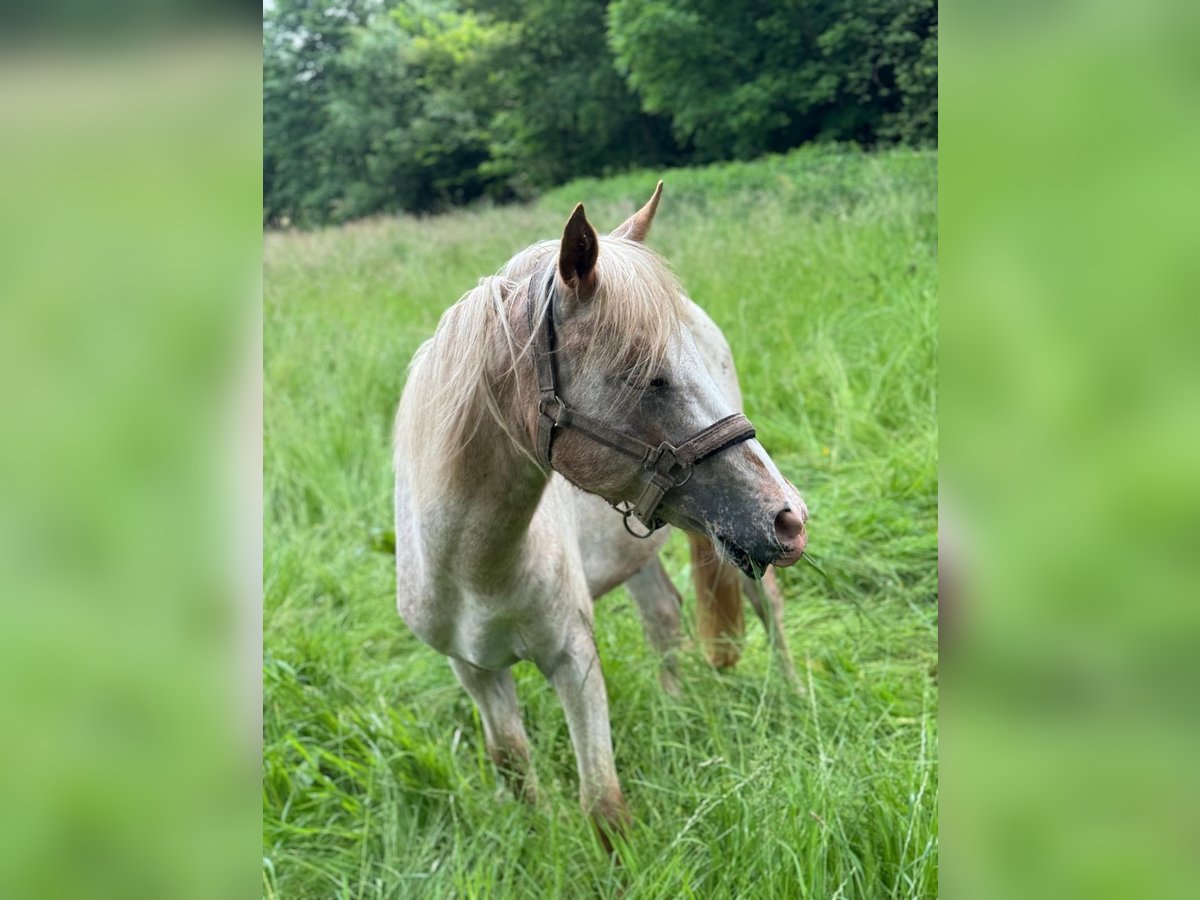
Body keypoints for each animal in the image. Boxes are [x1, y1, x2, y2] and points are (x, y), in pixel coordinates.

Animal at [393, 187, 806, 849]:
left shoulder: (574, 663)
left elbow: (604, 805)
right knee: (663, 615)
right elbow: (515, 771)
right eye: (647, 376)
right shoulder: (474, 672)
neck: (473, 566)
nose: (789, 519)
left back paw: (794, 697)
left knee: (768, 607)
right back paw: (674, 705)